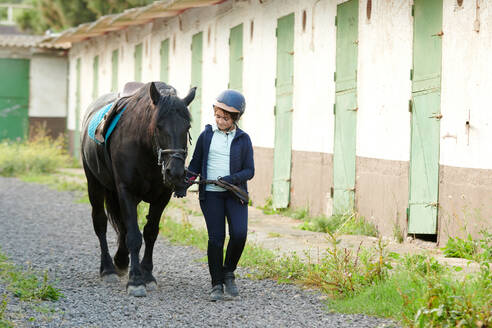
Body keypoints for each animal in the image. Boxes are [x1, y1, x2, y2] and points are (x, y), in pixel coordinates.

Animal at [81, 82, 196, 298]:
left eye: (188, 127)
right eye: (158, 126)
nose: (175, 172)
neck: (145, 148)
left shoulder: (161, 197)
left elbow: (150, 232)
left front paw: (147, 275)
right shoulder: (127, 192)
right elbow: (134, 235)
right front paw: (135, 280)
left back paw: (121, 260)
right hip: (95, 184)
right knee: (100, 223)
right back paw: (108, 268)